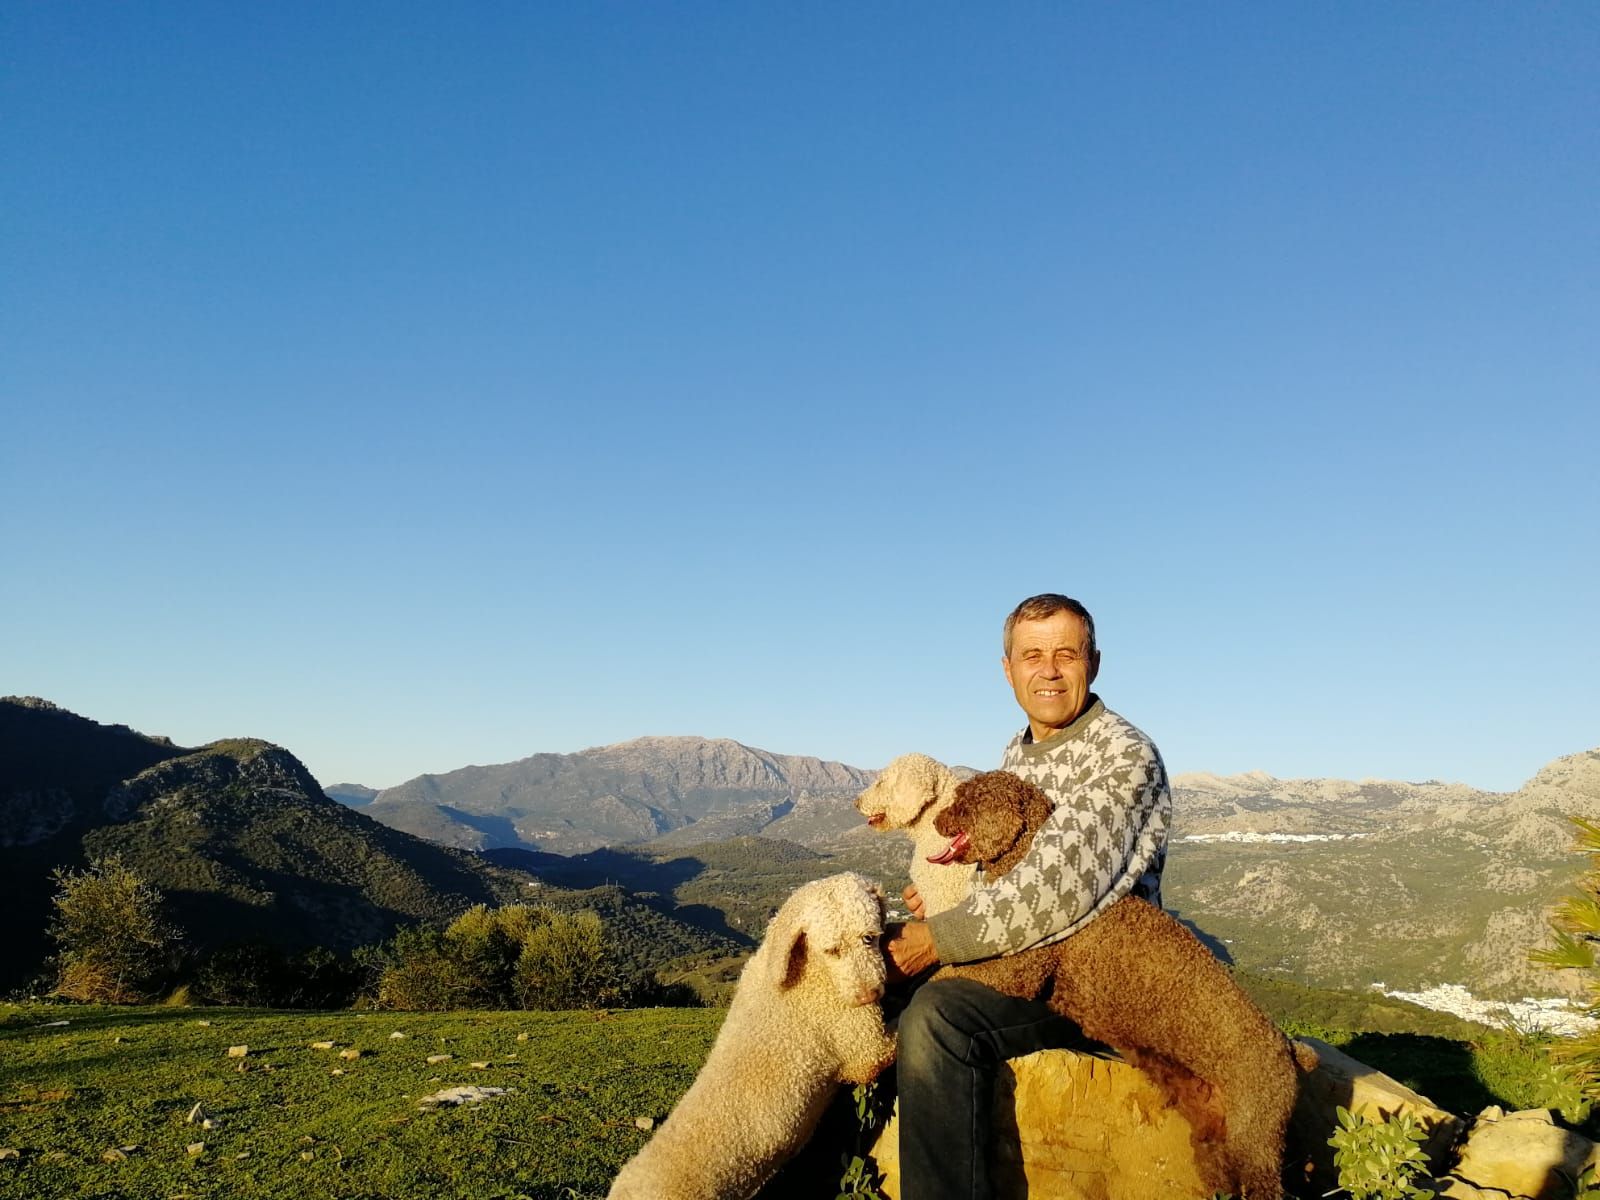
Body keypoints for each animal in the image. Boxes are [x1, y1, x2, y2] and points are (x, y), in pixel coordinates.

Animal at [928, 771, 1312, 1200]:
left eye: (964, 804)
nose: (936, 820)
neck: (1026, 857)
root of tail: (1289, 1048)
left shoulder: (1021, 969)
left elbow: (945, 972)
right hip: (1215, 1136)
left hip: (1255, 1134)